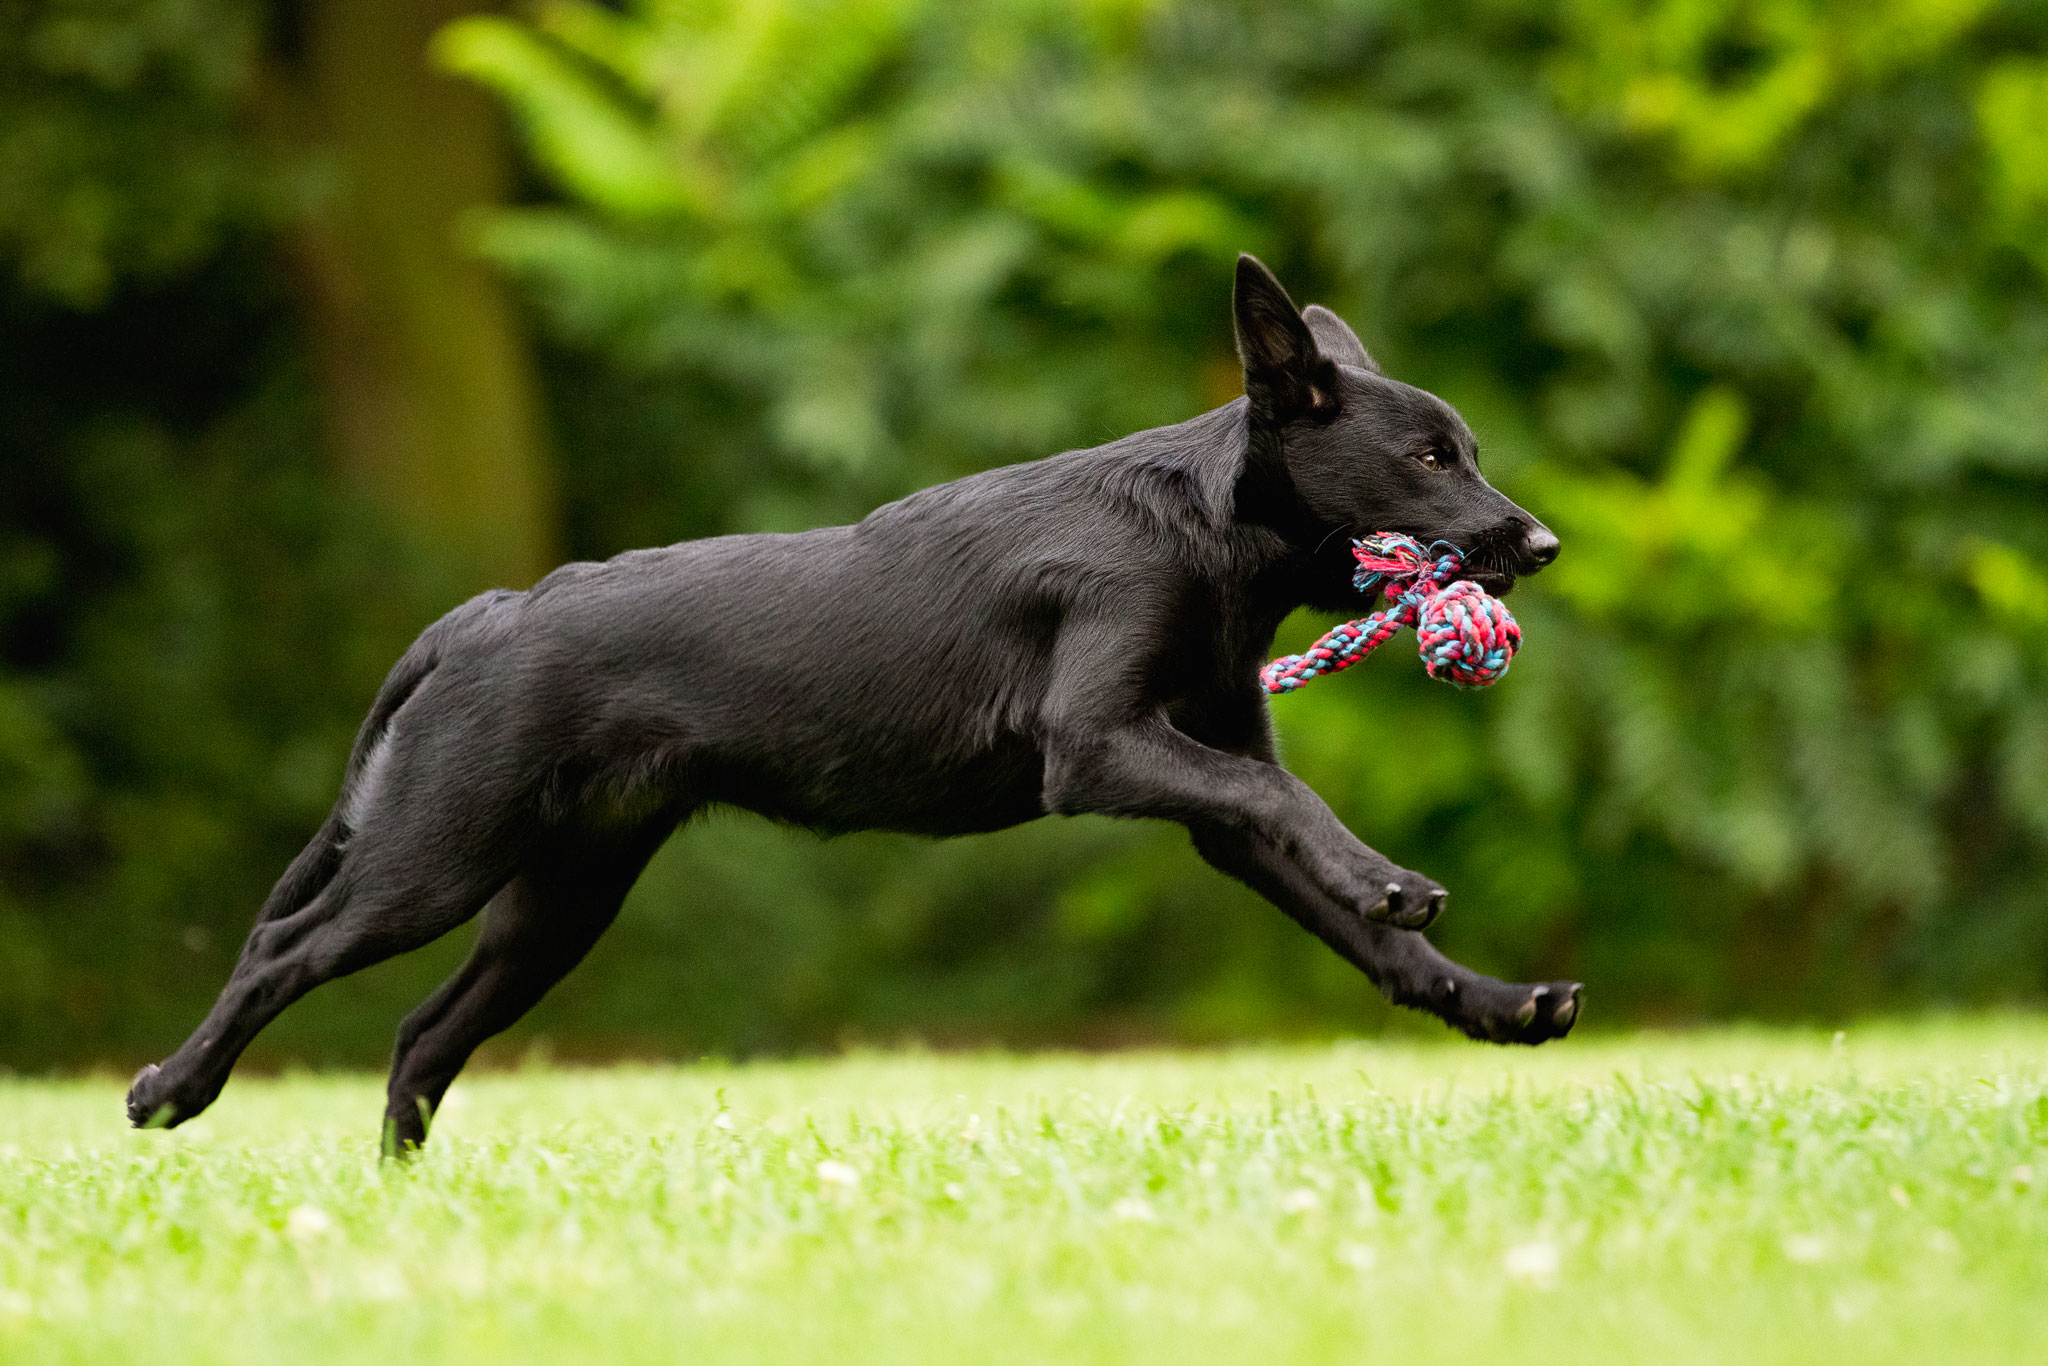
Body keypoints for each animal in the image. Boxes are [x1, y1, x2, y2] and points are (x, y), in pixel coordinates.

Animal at [128, 259, 1572, 1155]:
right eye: (1427, 457)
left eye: (1466, 451)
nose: (1543, 544)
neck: (1205, 534)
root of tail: (479, 616)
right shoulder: (1098, 750)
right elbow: (1293, 798)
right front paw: (1392, 875)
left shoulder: (1209, 800)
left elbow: (1363, 931)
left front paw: (1495, 1002)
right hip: (436, 854)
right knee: (281, 951)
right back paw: (170, 1088)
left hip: (559, 899)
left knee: (421, 1033)